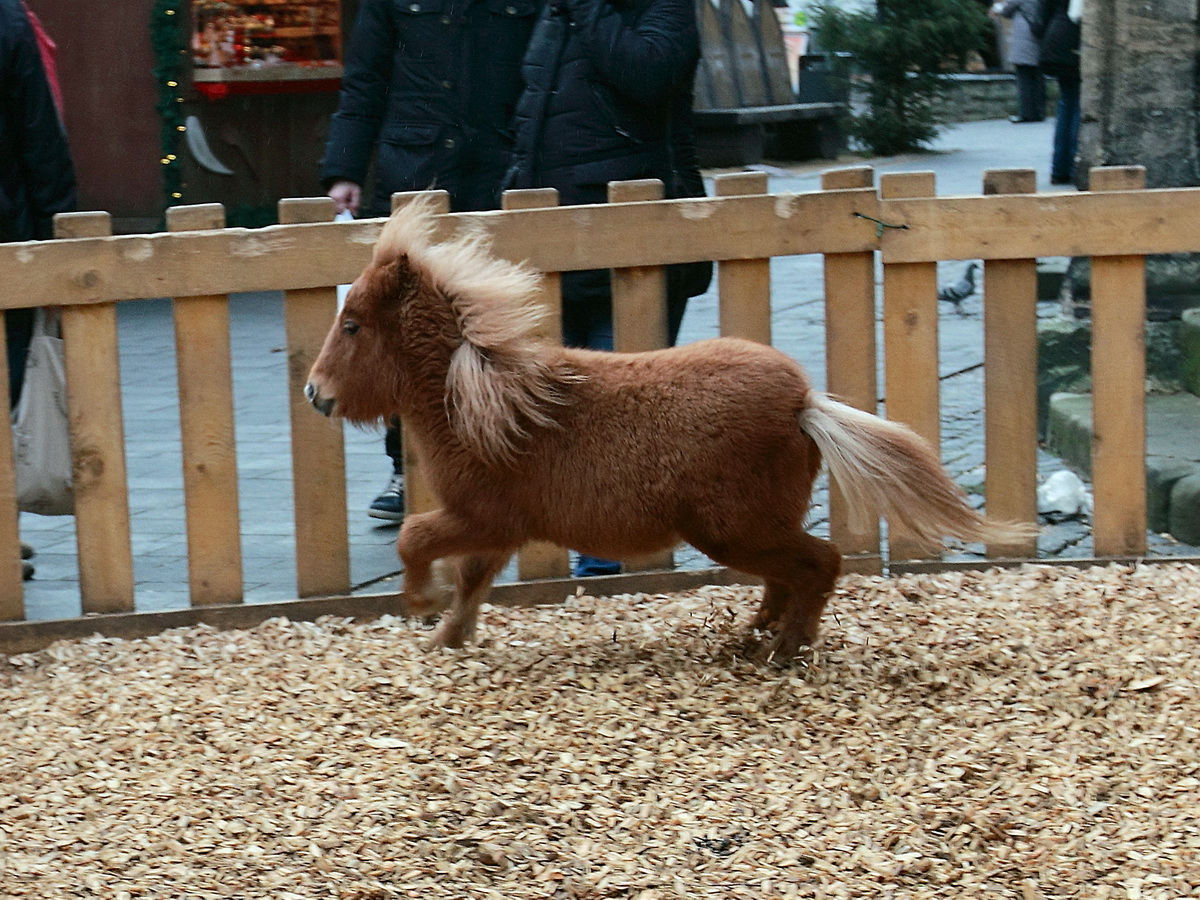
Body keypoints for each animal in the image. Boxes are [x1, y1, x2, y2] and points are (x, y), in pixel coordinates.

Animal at [307, 199, 1032, 662]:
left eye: (353, 325)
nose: (316, 394)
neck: (484, 399)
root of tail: (803, 402)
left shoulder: (483, 514)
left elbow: (415, 538)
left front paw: (419, 605)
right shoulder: (494, 528)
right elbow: (471, 583)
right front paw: (445, 638)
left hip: (733, 529)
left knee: (818, 564)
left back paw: (785, 649)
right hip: (749, 529)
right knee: (789, 574)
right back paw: (754, 635)